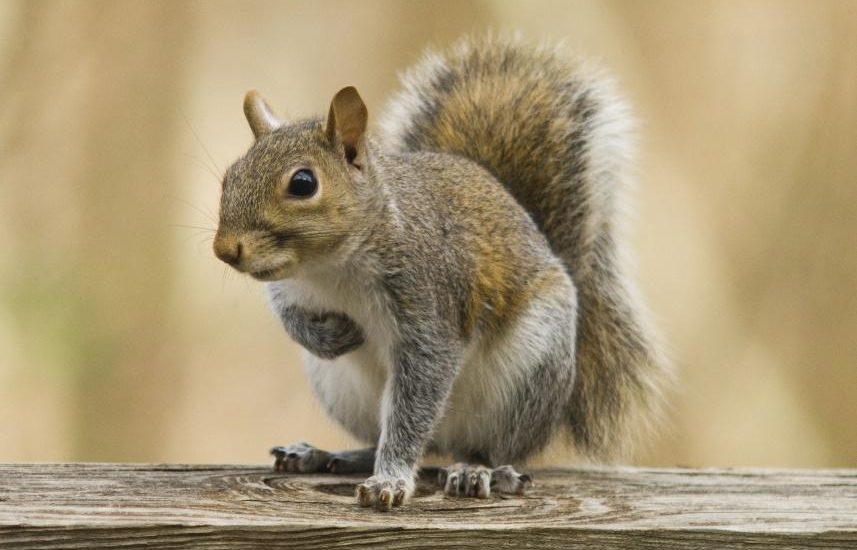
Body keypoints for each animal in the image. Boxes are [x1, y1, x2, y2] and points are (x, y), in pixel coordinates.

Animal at [213, 35, 669, 511]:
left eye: (303, 183)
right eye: (230, 176)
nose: (224, 249)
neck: (330, 268)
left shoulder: (429, 301)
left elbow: (418, 394)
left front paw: (390, 481)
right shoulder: (289, 286)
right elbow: (291, 318)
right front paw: (333, 335)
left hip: (528, 373)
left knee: (483, 447)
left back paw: (477, 470)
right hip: (341, 388)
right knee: (389, 438)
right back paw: (323, 454)